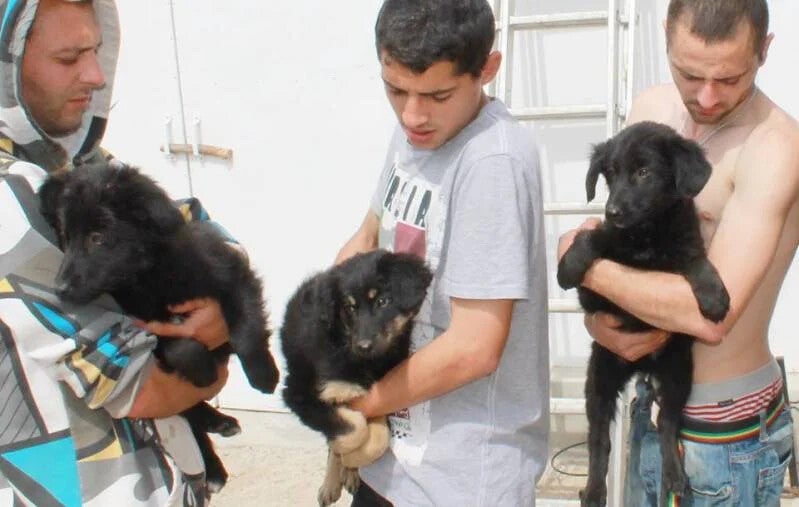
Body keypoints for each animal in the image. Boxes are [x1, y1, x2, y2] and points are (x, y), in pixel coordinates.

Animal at [38, 162, 280, 492]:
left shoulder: (231, 275)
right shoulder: (146, 331)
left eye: (98, 237)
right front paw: (205, 372)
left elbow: (246, 329)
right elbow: (181, 347)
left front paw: (264, 375)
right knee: (189, 415)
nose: (60, 289)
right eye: (65, 236)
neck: (147, 278)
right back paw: (213, 460)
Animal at [280, 249, 432, 506]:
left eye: (383, 301)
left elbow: (378, 436)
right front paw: (344, 458)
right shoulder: (300, 394)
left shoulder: (378, 394)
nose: (363, 346)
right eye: (349, 308)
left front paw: (354, 464)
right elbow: (354, 429)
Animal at [557, 121, 730, 507]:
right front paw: (568, 265)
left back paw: (675, 476)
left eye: (643, 172)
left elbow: (698, 260)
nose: (613, 211)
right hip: (599, 380)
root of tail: (641, 366)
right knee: (599, 442)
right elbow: (592, 239)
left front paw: (714, 295)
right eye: (610, 174)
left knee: (667, 425)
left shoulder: (685, 242)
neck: (646, 234)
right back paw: (594, 490)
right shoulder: (593, 294)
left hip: (679, 372)